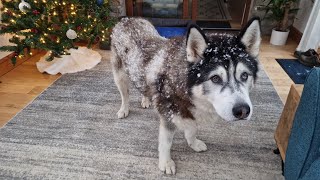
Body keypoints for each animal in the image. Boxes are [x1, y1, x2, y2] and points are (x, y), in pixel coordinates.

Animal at [111, 17, 262, 174]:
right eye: (215, 78)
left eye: (244, 75)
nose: (242, 110)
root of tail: (127, 19)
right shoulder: (168, 117)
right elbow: (166, 143)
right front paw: (166, 162)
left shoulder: (191, 113)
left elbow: (192, 130)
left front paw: (193, 143)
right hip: (119, 76)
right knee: (125, 95)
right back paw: (124, 109)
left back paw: (146, 99)